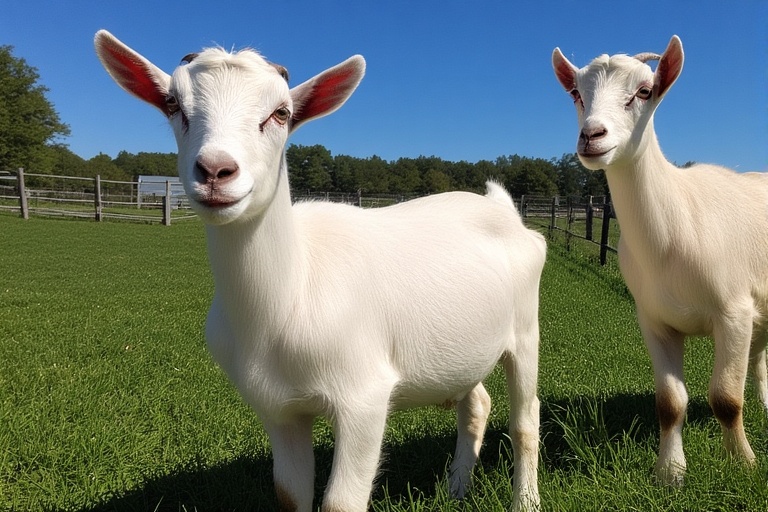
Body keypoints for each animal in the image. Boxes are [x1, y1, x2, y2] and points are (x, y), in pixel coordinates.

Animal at [95, 30, 545, 511]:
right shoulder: (278, 409)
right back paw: (455, 489)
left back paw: (526, 501)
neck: (289, 294)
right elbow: (290, 494)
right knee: (476, 404)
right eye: (172, 104)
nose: (216, 170)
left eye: (281, 113)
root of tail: (502, 207)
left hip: (525, 331)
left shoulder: (364, 396)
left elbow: (340, 502)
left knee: (525, 419)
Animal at [552, 35, 768, 485]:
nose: (591, 135)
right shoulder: (654, 318)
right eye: (577, 93)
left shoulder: (733, 311)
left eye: (644, 91)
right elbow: (670, 402)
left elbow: (726, 398)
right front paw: (670, 472)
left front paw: (742, 463)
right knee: (760, 355)